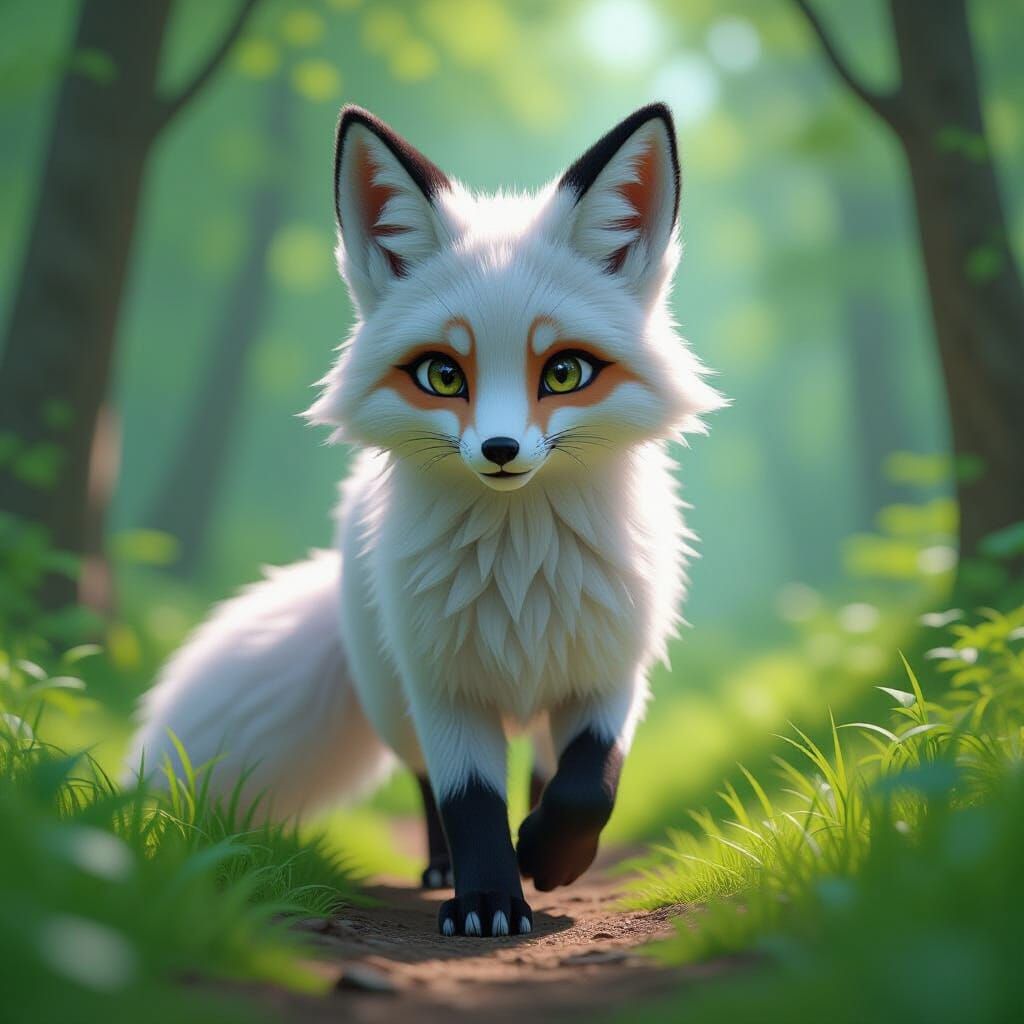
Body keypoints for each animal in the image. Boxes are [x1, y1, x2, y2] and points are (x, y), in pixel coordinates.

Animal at [127, 102, 723, 938]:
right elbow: (468, 800)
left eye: (564, 371)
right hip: (393, 700)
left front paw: (548, 858)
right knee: (424, 785)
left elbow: (586, 788)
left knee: (546, 768)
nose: (501, 450)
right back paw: (444, 868)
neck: (521, 578)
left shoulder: (609, 668)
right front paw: (488, 900)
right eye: (443, 375)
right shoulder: (443, 683)